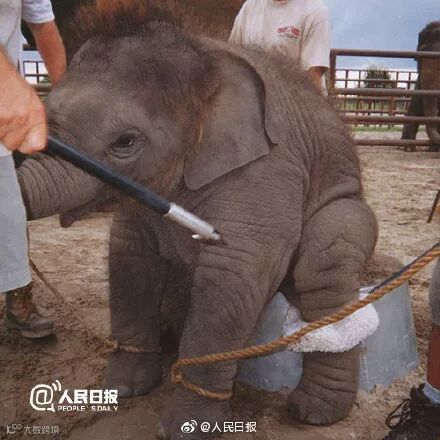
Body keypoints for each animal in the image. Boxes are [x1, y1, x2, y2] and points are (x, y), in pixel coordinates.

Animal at [17, 1, 378, 438]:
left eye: (125, 142)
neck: (204, 56)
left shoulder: (269, 167)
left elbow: (234, 273)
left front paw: (186, 426)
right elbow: (128, 258)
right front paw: (122, 390)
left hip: (348, 204)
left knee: (327, 261)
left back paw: (313, 413)